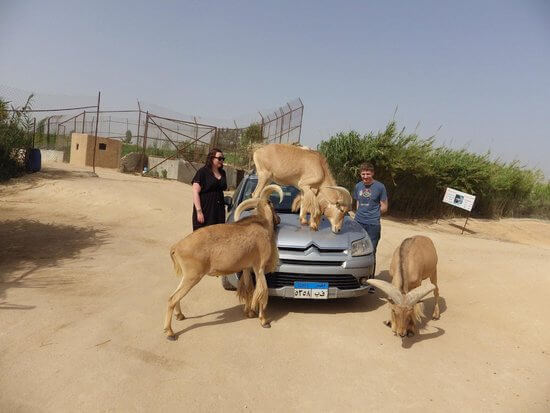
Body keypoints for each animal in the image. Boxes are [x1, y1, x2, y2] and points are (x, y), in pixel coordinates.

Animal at [164, 185, 284, 340]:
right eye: (273, 205)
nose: (279, 219)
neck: (261, 225)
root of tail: (177, 247)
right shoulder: (259, 267)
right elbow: (262, 290)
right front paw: (264, 321)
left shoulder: (246, 268)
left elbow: (249, 289)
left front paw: (249, 313)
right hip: (193, 276)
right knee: (172, 299)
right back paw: (170, 332)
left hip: (187, 276)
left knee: (174, 295)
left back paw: (180, 315)